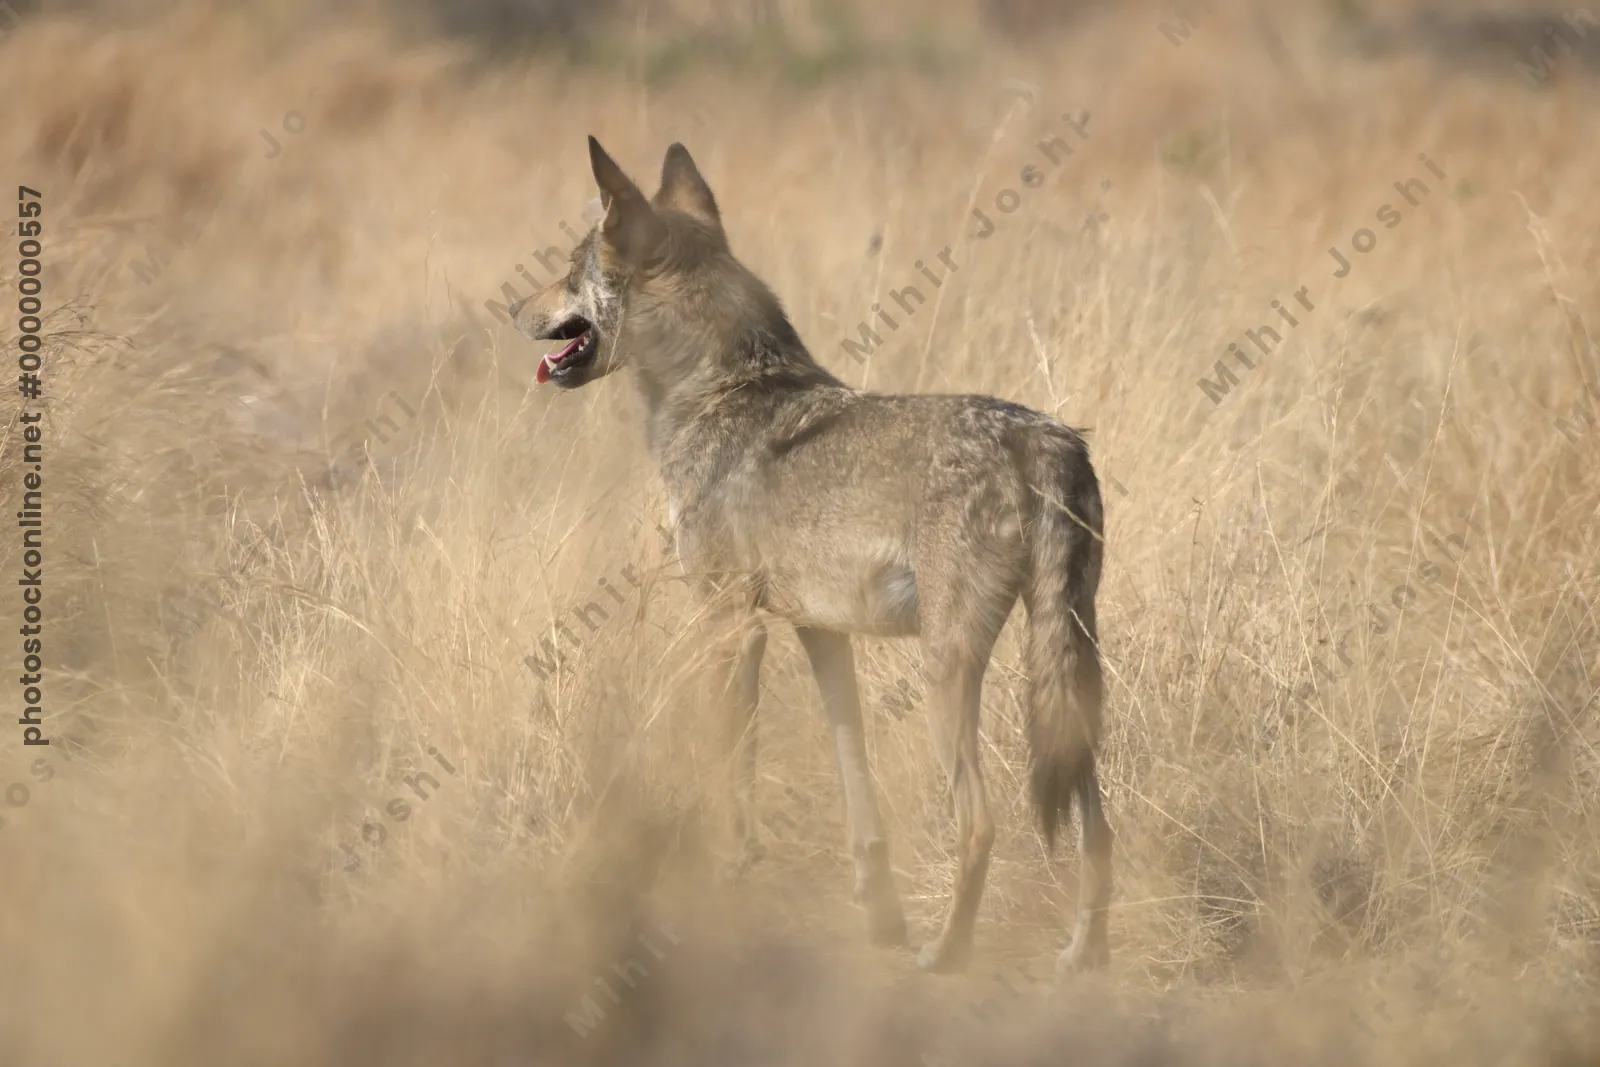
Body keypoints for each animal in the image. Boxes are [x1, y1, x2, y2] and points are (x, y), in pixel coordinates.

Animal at [509, 137, 1112, 975]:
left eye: (569, 270)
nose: (512, 310)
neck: (719, 393)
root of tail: (1048, 440)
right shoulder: (821, 633)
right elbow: (857, 789)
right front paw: (881, 919)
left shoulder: (731, 626)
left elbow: (732, 774)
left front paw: (727, 883)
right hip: (1066, 670)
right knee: (1098, 827)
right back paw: (1081, 955)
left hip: (948, 670)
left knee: (981, 823)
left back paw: (947, 953)